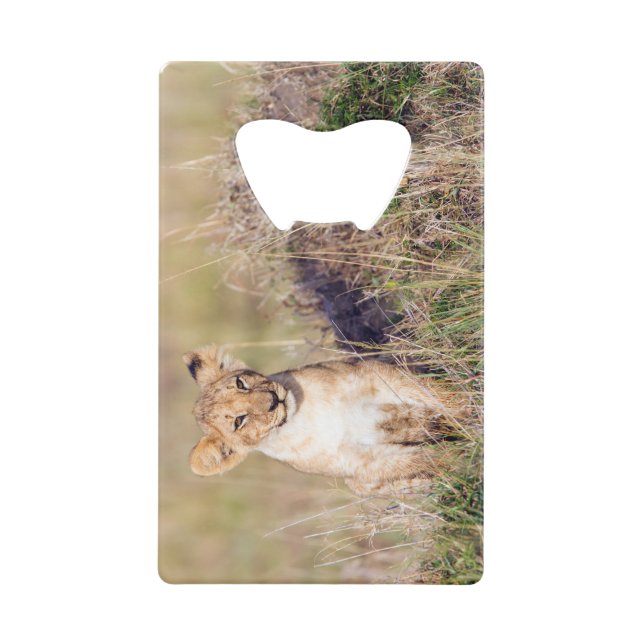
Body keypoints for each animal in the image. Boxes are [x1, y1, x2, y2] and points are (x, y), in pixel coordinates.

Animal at [183, 343, 461, 495]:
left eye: (241, 384)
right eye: (238, 422)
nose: (273, 400)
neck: (306, 416)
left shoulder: (377, 378)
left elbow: (443, 397)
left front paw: (468, 405)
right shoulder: (363, 462)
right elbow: (425, 460)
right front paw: (463, 460)